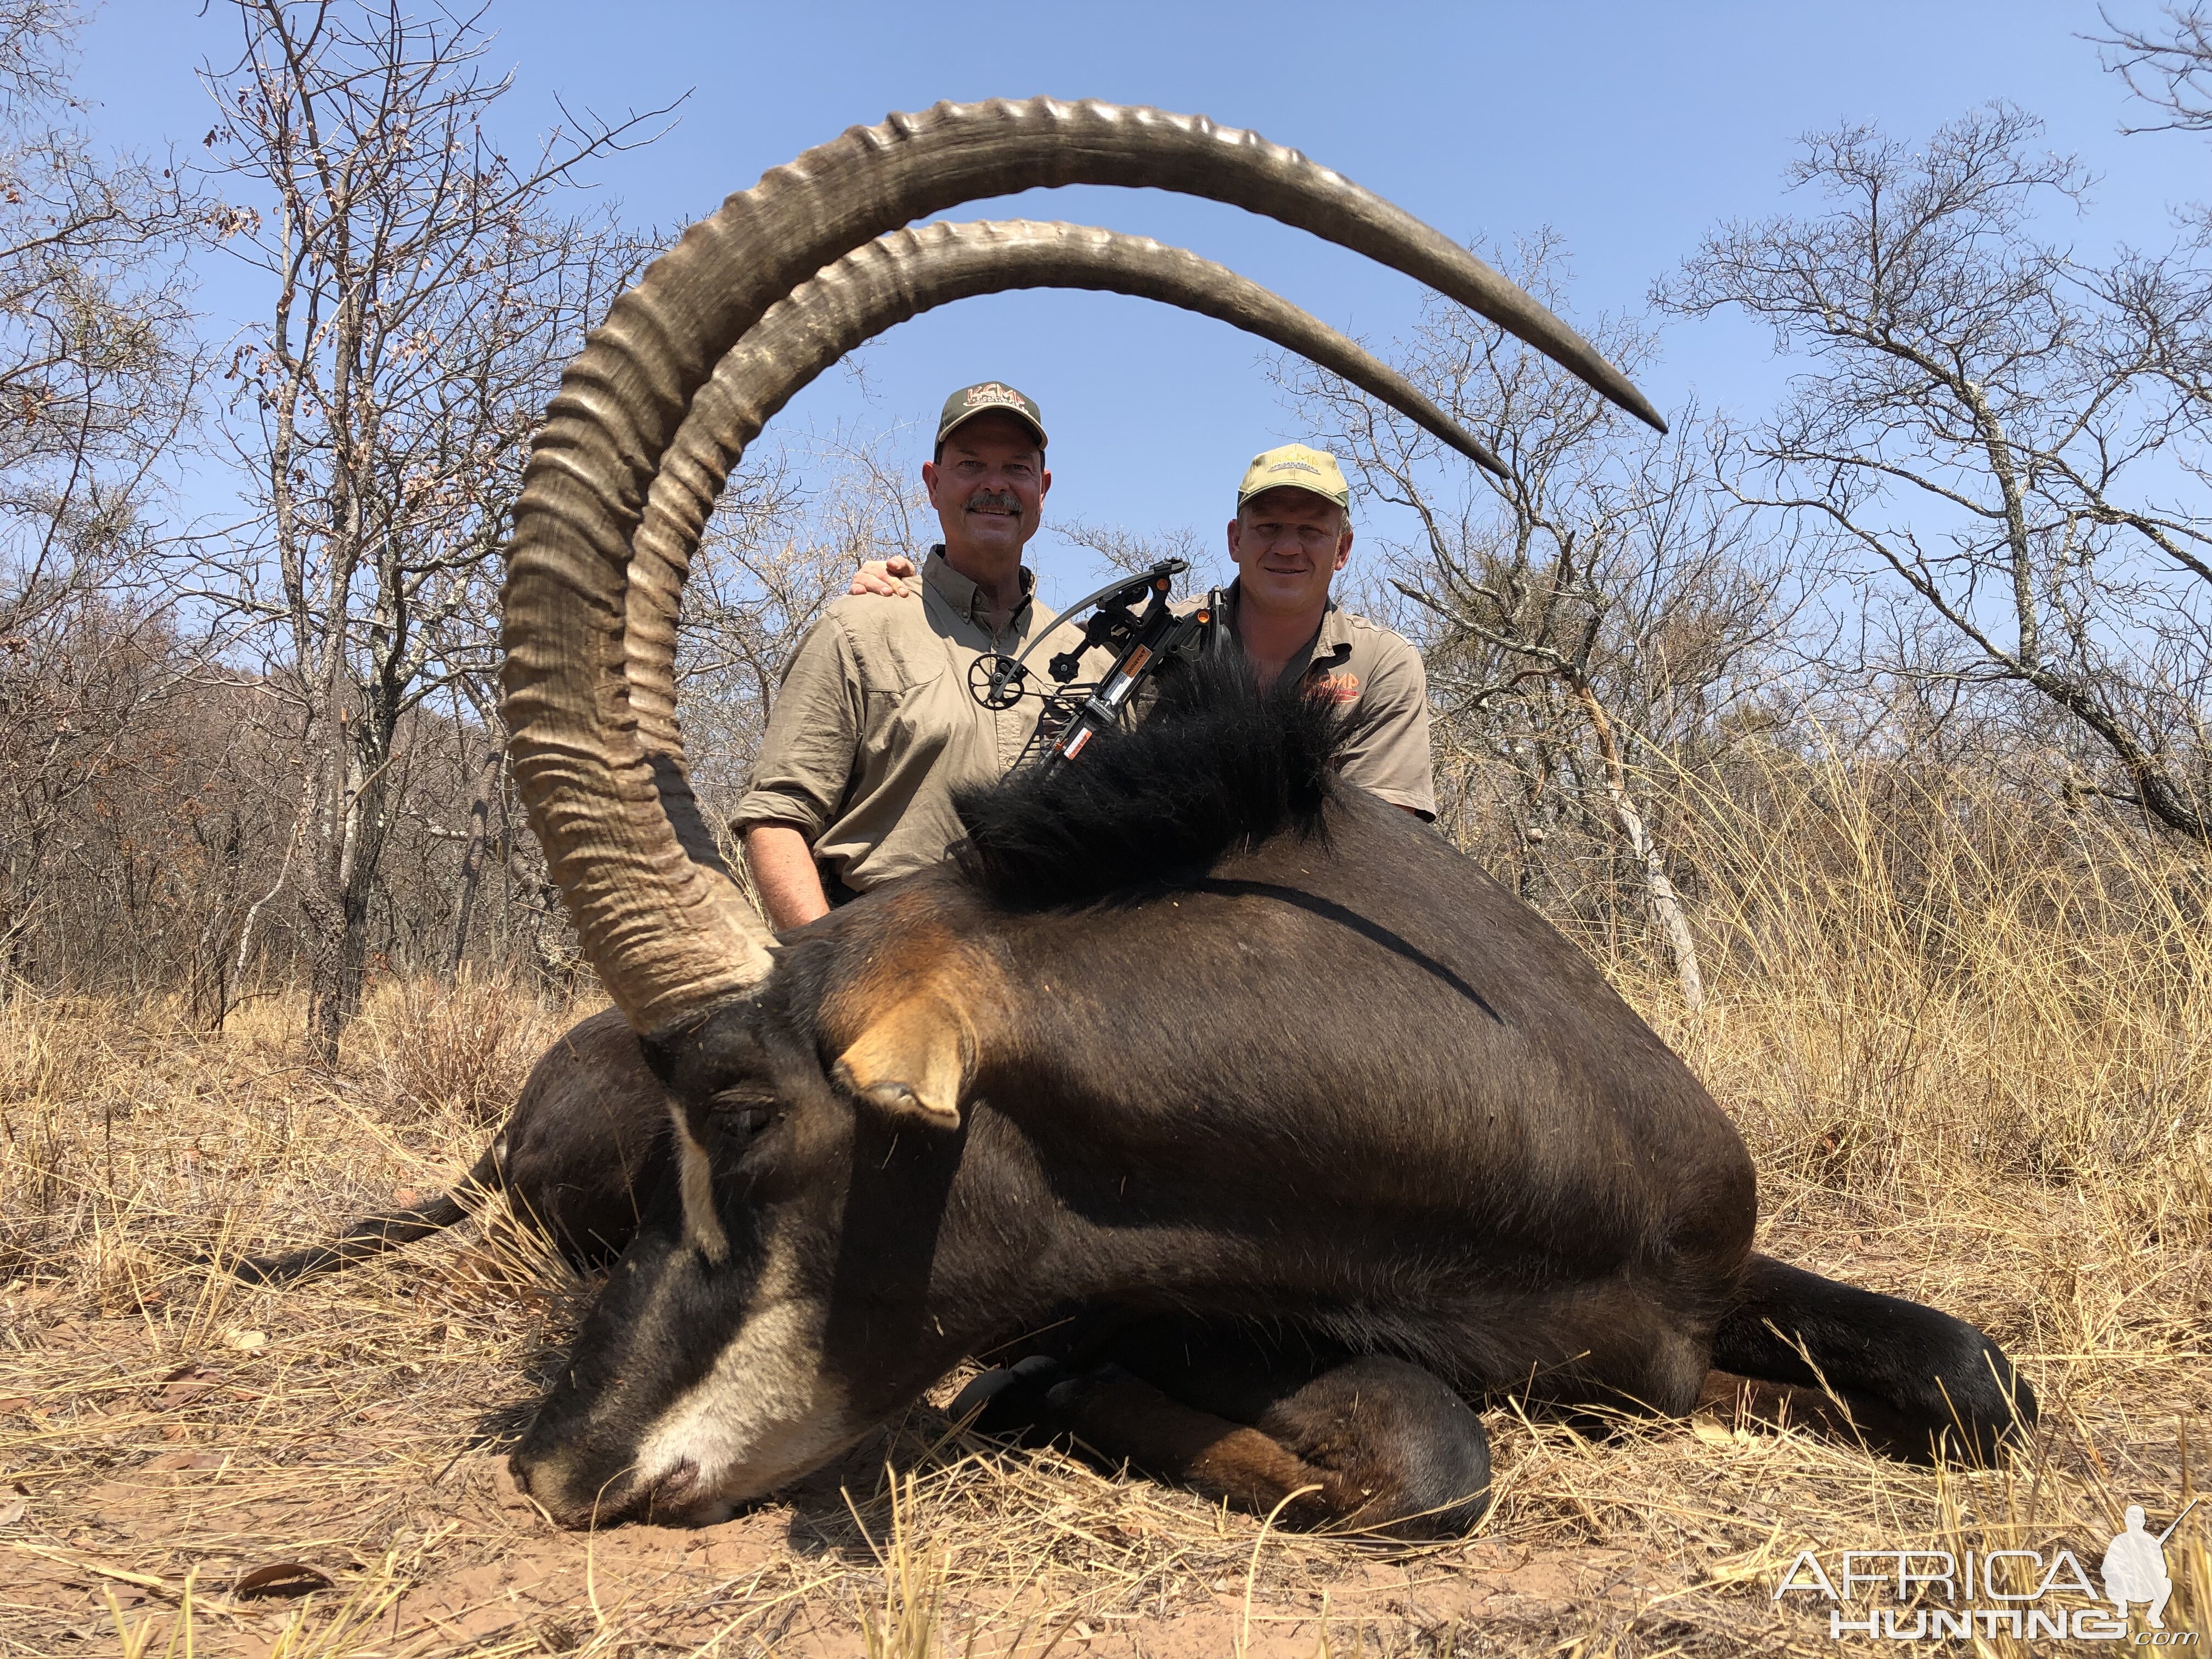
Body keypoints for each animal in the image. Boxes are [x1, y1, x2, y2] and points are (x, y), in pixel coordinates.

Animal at [246, 100, 2035, 1531]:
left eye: (746, 1116)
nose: (557, 1466)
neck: (1506, 1125)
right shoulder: (1172, 1313)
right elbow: (1433, 1453)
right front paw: (1031, 1403)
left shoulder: (1713, 1275)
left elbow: (1975, 1377)